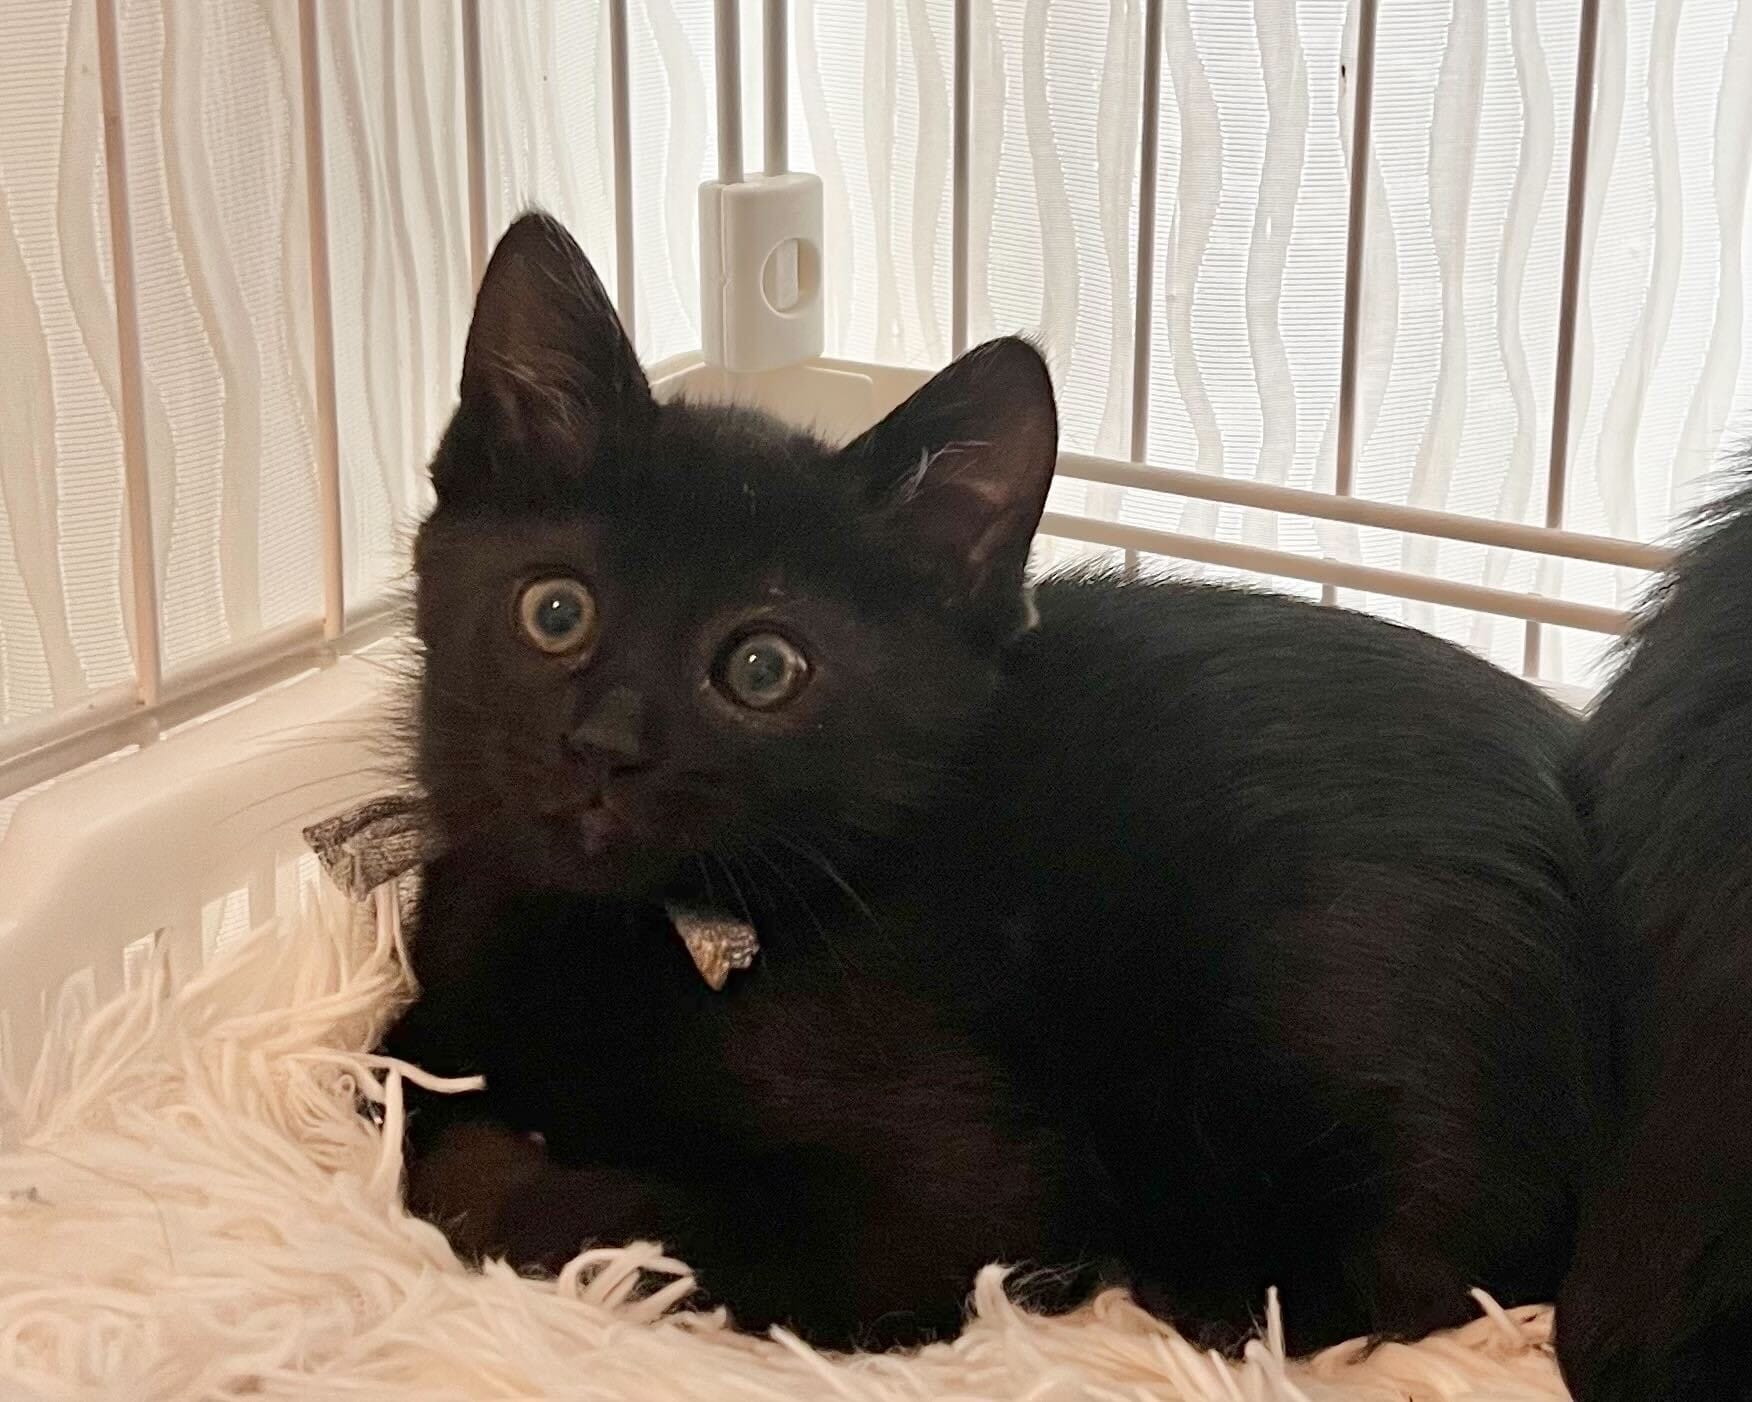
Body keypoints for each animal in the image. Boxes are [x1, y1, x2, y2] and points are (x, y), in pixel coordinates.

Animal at [381, 210, 1609, 1354]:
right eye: (555, 611)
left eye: (765, 668)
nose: (604, 743)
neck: (623, 929)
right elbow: (393, 1056)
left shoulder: (954, 1206)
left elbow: (554, 1202)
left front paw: (493, 1165)